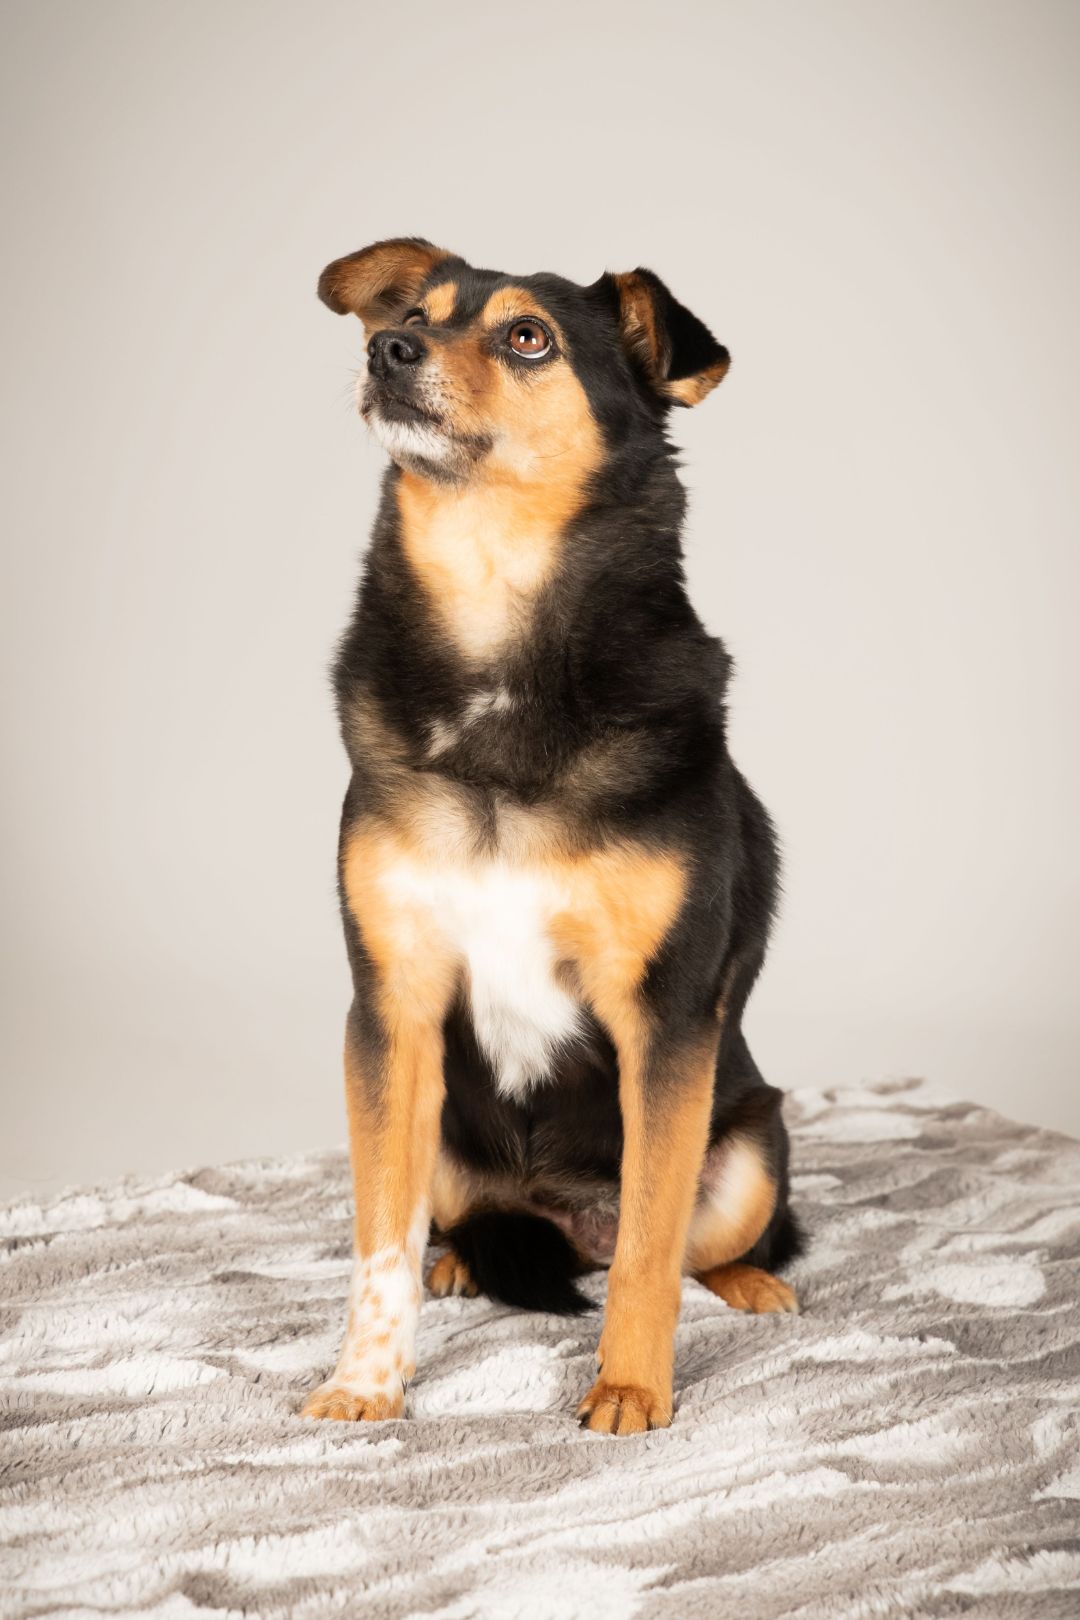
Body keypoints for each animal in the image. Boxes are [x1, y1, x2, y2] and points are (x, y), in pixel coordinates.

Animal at [301, 238, 803, 1436]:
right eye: (414, 316)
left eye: (528, 337)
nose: (388, 352)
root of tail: (559, 1214)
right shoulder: (390, 1009)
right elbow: (376, 1244)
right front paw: (366, 1385)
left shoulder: (664, 1018)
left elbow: (650, 1251)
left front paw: (628, 1389)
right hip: (435, 1127)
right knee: (447, 1225)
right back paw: (456, 1263)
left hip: (753, 1142)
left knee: (686, 1245)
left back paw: (751, 1281)